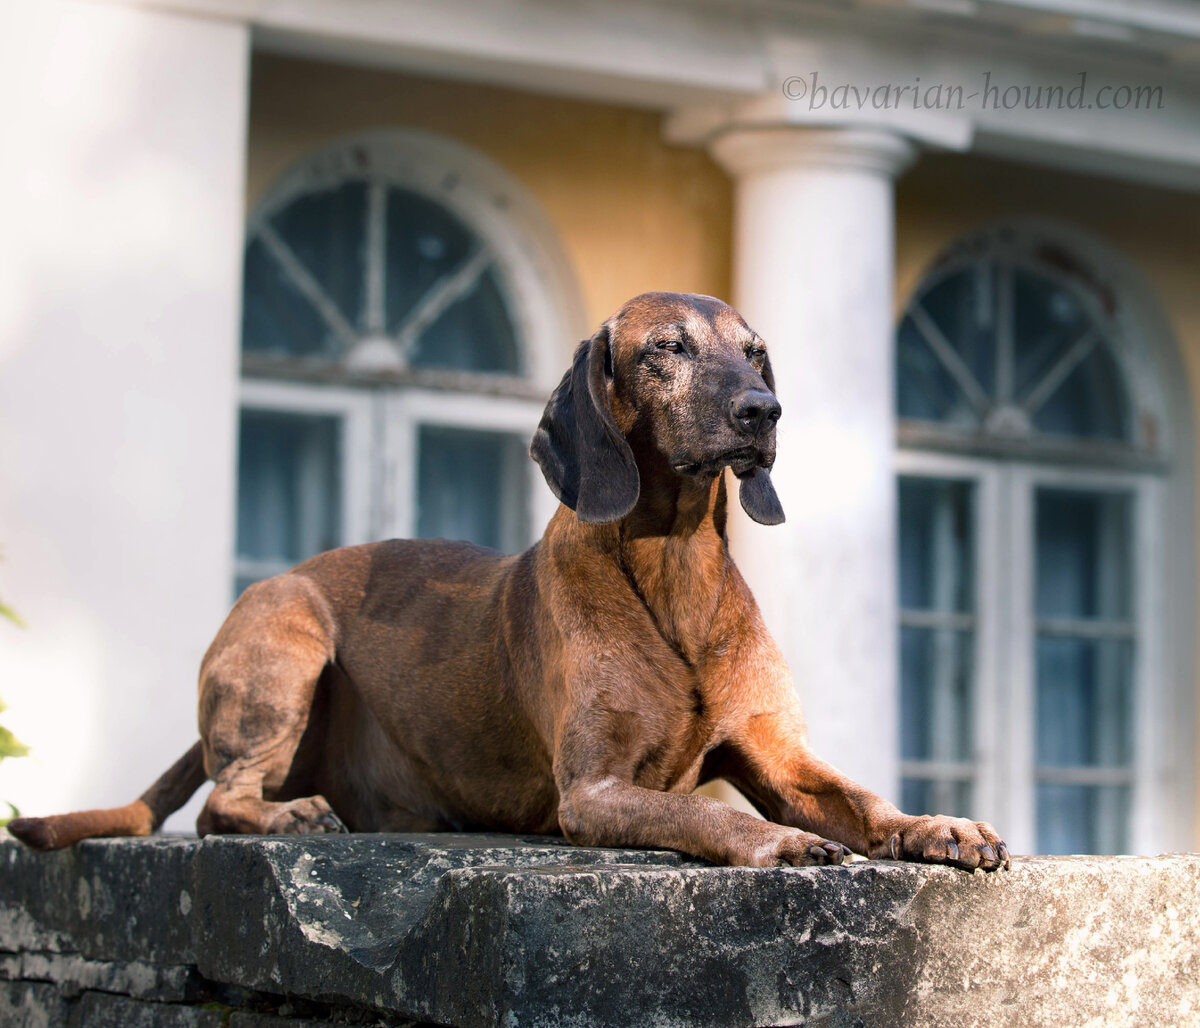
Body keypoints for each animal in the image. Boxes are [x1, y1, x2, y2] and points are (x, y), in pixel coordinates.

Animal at [9, 292, 1008, 868]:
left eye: (755, 351)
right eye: (668, 348)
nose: (763, 411)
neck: (676, 572)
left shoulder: (778, 754)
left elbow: (861, 799)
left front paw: (936, 825)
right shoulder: (594, 792)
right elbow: (710, 819)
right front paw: (779, 841)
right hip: (281, 642)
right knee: (223, 802)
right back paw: (291, 816)